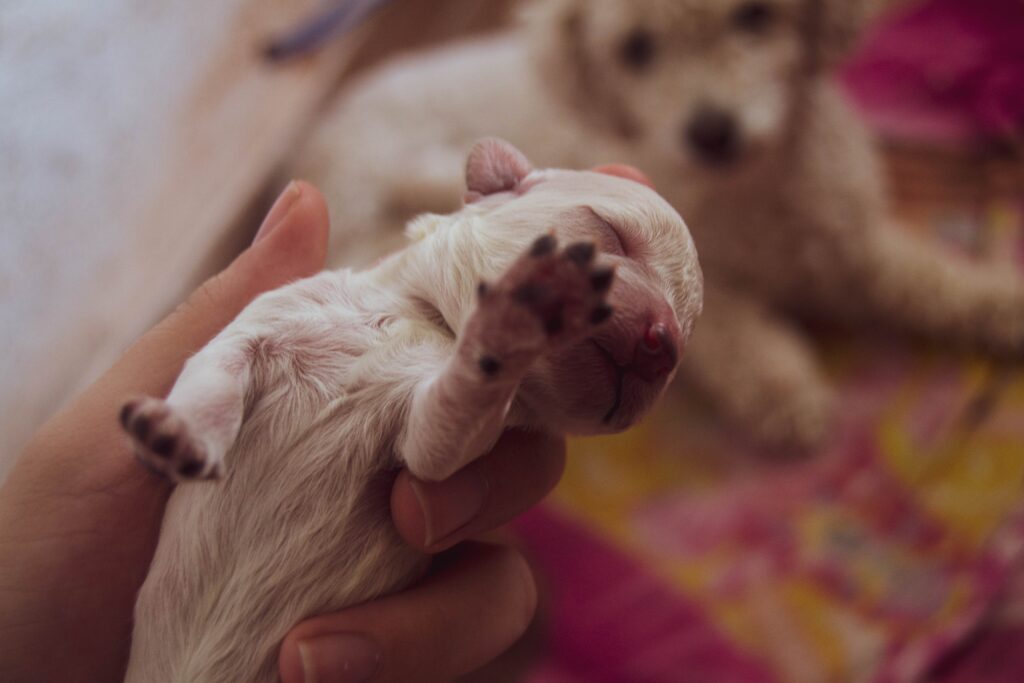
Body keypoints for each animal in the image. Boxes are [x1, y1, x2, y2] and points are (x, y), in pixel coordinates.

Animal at [116, 140, 700, 683]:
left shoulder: (432, 433)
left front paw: (511, 322)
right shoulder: (268, 315)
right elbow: (213, 372)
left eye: (681, 350)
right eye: (609, 234)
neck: (422, 318)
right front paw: (175, 433)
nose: (664, 346)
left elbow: (437, 444)